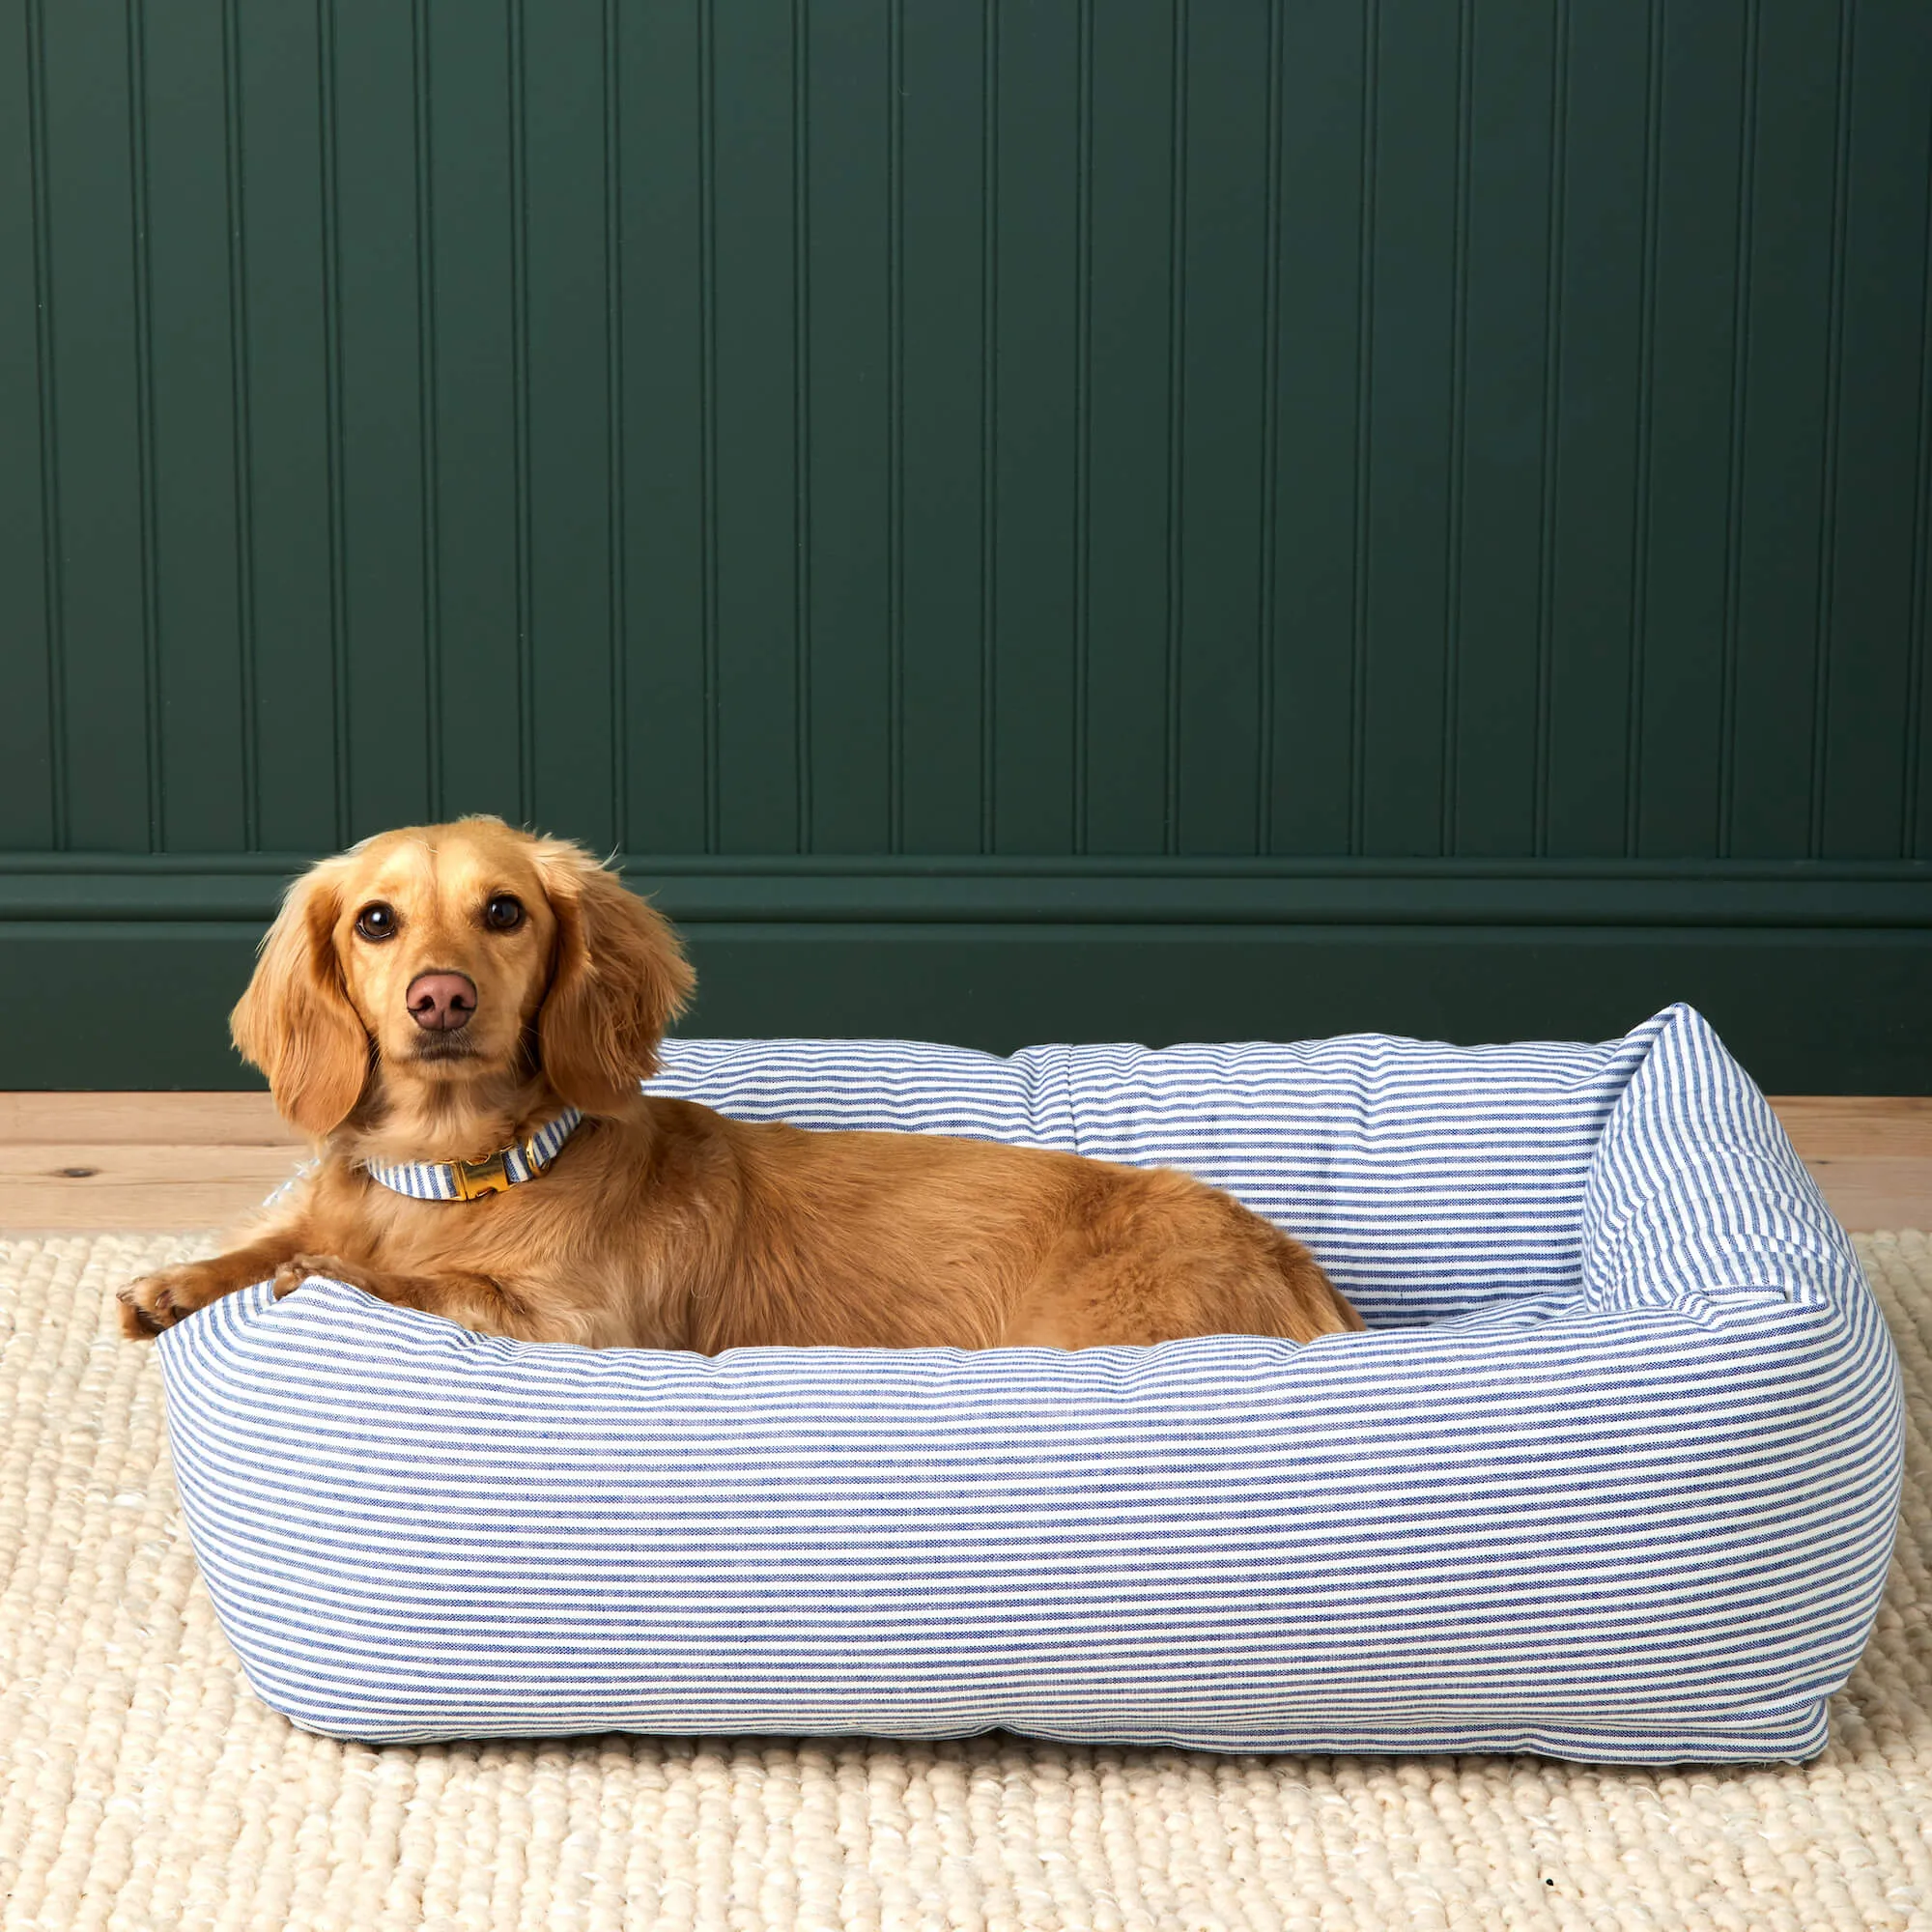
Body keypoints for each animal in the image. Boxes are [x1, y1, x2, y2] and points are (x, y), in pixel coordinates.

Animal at [117, 823, 1360, 1352]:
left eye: (503, 909)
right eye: (374, 920)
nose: (440, 999)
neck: (457, 1172)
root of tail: (1302, 1273)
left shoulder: (580, 1328)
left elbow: (420, 1283)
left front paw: (331, 1274)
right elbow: (268, 1238)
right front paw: (178, 1280)